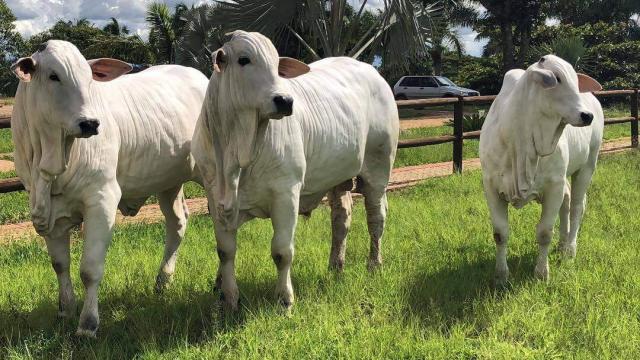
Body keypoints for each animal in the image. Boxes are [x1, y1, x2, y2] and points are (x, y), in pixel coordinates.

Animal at [10, 40, 208, 336]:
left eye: (89, 78)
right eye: (53, 76)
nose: (90, 123)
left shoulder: (101, 200)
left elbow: (90, 269)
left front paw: (87, 324)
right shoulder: (49, 212)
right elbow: (60, 265)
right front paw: (65, 310)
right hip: (169, 182)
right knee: (178, 222)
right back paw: (163, 281)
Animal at [192, 31, 398, 310]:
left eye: (277, 64)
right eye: (244, 60)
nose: (285, 101)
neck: (234, 152)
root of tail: (373, 72)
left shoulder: (286, 193)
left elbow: (282, 251)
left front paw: (285, 300)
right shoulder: (215, 197)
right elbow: (225, 251)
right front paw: (229, 300)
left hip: (378, 170)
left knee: (376, 218)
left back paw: (374, 265)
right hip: (337, 179)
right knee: (341, 220)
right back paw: (335, 267)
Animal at [482, 54, 604, 286]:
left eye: (576, 82)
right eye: (558, 79)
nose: (587, 115)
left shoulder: (553, 186)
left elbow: (545, 233)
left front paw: (541, 273)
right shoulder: (491, 187)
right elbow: (500, 233)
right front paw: (501, 276)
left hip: (587, 166)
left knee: (576, 206)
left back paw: (570, 250)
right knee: (567, 202)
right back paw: (563, 244)